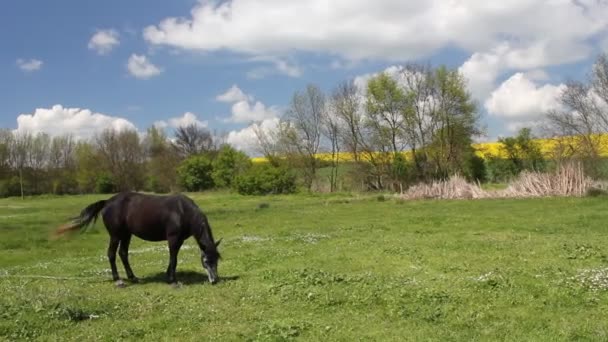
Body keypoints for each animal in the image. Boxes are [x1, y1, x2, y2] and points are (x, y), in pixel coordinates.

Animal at [55, 192, 222, 286]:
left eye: (217, 260)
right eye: (206, 261)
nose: (214, 280)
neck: (182, 211)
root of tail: (108, 201)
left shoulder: (179, 240)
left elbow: (172, 258)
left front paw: (168, 276)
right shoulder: (173, 238)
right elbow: (173, 259)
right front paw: (173, 280)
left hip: (126, 234)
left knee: (123, 254)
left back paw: (133, 278)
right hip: (116, 235)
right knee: (111, 254)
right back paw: (118, 280)